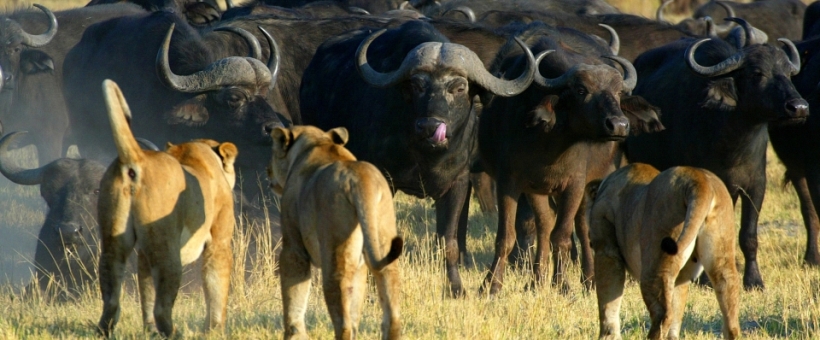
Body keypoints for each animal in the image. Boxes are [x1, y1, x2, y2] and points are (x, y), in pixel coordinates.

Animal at [97, 79, 237, 338]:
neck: (194, 152)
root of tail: (137, 158)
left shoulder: (143, 254)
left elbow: (146, 292)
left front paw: (149, 330)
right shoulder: (219, 241)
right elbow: (216, 288)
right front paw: (216, 330)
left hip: (114, 241)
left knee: (111, 297)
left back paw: (106, 330)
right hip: (168, 250)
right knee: (163, 307)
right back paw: (177, 333)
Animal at [270, 125, 404, 340]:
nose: (268, 172)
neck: (318, 142)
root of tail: (360, 179)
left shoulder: (293, 248)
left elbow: (294, 297)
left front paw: (294, 334)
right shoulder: (360, 265)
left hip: (334, 254)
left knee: (344, 324)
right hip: (382, 242)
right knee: (390, 316)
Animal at [588, 163, 740, 338]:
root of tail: (698, 180)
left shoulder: (606, 250)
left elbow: (608, 303)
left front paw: (608, 336)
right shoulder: (682, 277)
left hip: (655, 262)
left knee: (664, 315)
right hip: (720, 255)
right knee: (728, 297)